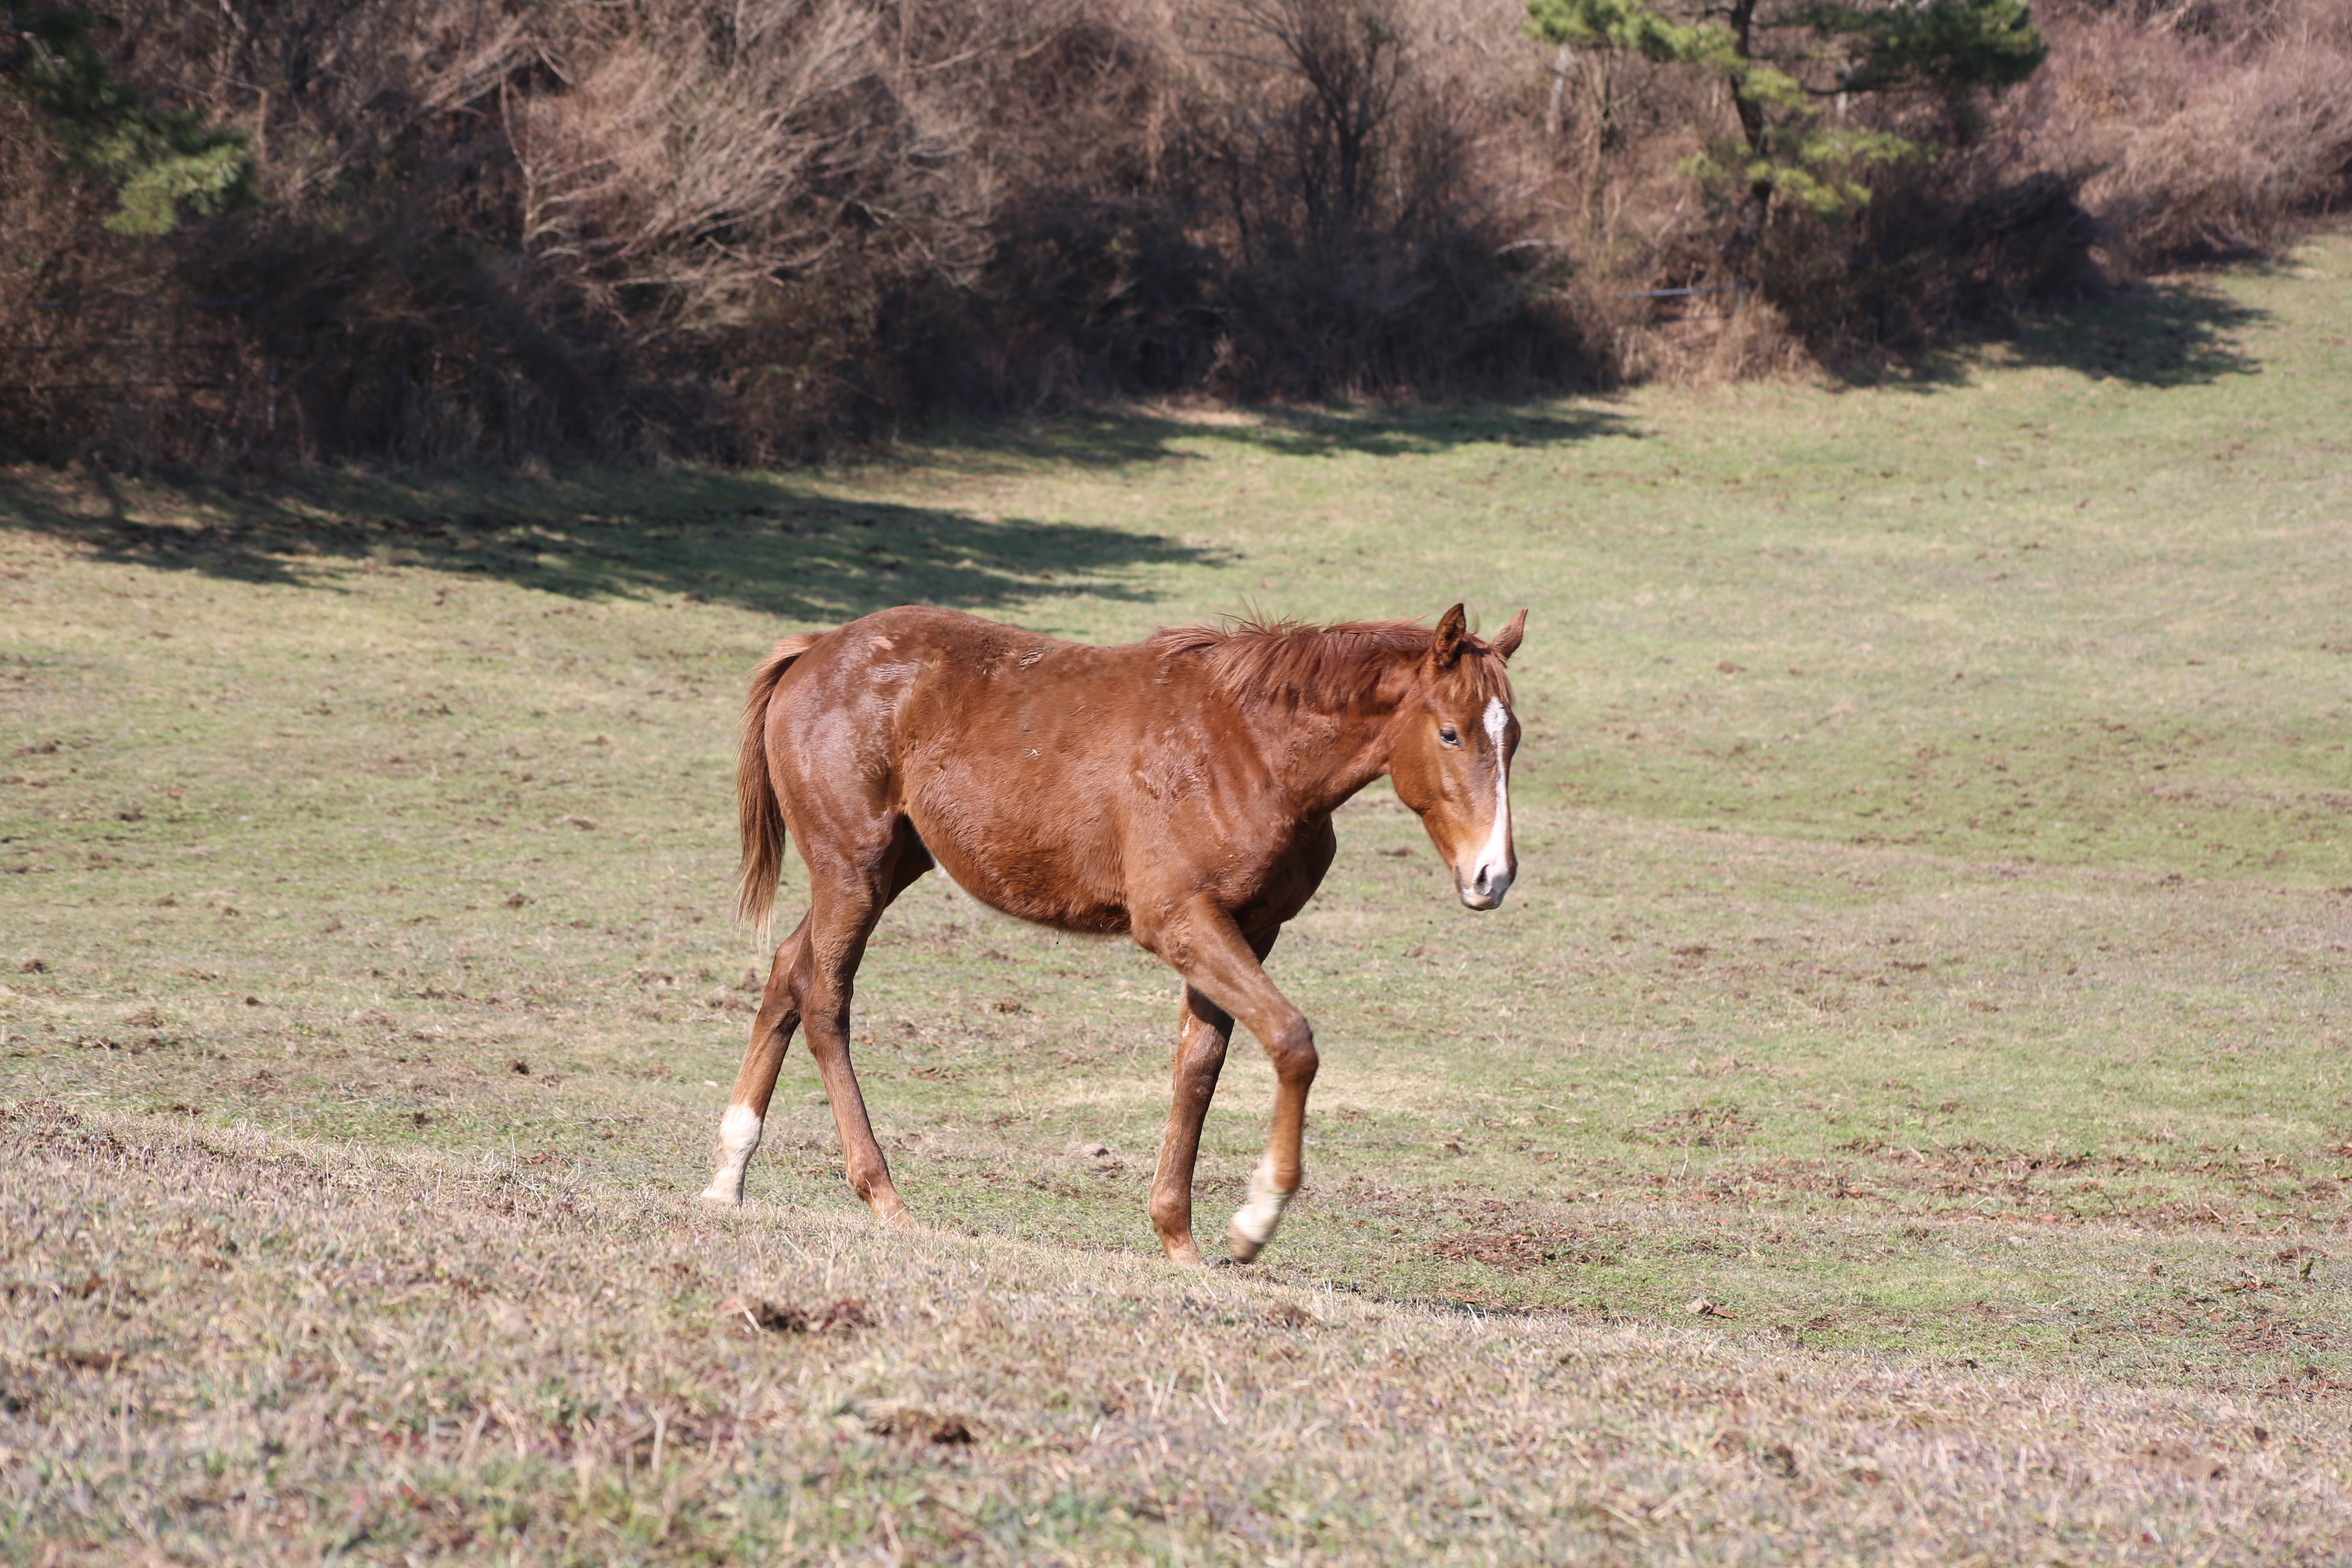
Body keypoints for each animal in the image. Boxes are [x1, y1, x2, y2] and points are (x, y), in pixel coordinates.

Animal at [696, 601, 1524, 1260]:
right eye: (1451, 734)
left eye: (1511, 739)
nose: (1494, 876)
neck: (1251, 748)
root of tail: (816, 649)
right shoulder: (1178, 922)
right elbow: (1292, 1040)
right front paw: (1255, 1220)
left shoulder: (1249, 931)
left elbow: (1199, 1069)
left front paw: (1179, 1239)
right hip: (854, 870)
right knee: (825, 1000)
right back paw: (883, 1196)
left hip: (892, 865)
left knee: (789, 970)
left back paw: (728, 1174)